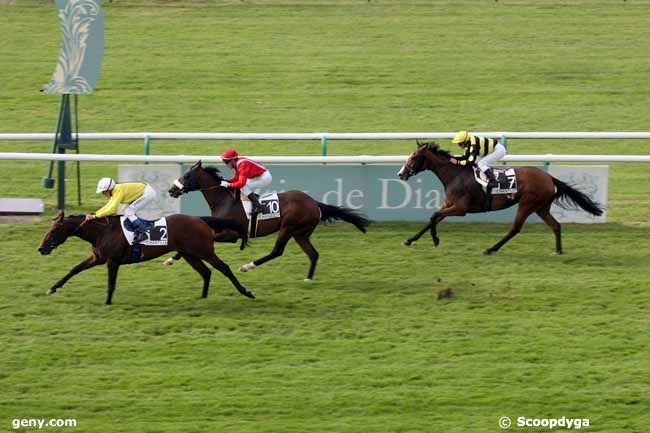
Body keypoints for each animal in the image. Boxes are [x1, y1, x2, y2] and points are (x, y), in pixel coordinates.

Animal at [36, 211, 256, 302]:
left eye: (54, 230)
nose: (41, 248)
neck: (103, 232)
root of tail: (200, 219)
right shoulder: (98, 258)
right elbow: (74, 269)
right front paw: (52, 288)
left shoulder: (112, 261)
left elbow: (111, 283)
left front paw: (107, 302)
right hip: (189, 254)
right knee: (206, 272)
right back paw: (202, 297)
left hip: (204, 251)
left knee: (223, 268)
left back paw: (246, 292)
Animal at [167, 160, 370, 278]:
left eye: (186, 176)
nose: (171, 190)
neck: (224, 200)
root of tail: (314, 203)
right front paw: (171, 258)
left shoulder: (232, 235)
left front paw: (171, 258)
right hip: (300, 233)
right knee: (313, 254)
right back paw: (308, 278)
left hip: (288, 227)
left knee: (277, 251)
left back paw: (247, 266)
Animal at [394, 140, 604, 255]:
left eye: (413, 157)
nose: (400, 174)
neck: (455, 175)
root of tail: (549, 178)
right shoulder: (448, 205)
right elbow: (432, 218)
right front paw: (410, 240)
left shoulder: (460, 209)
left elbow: (433, 216)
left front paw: (435, 239)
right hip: (541, 207)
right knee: (555, 226)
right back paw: (558, 250)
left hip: (527, 204)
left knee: (515, 229)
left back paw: (490, 249)